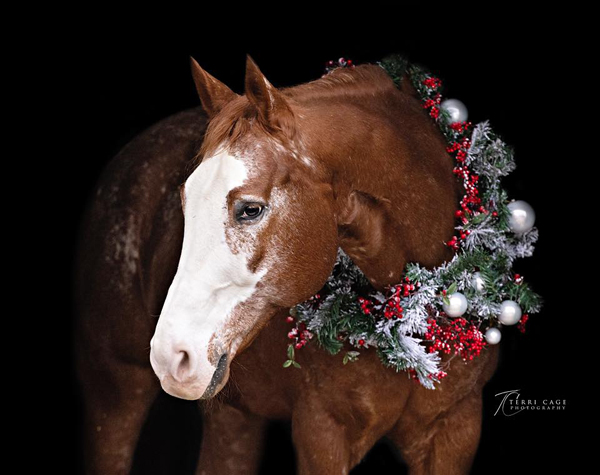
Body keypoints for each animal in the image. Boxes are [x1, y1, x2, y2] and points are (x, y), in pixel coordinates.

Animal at [74, 54, 496, 474]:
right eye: (185, 200)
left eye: (250, 209)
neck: (408, 322)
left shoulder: (456, 429)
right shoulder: (323, 431)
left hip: (234, 417)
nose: (169, 355)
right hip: (115, 398)